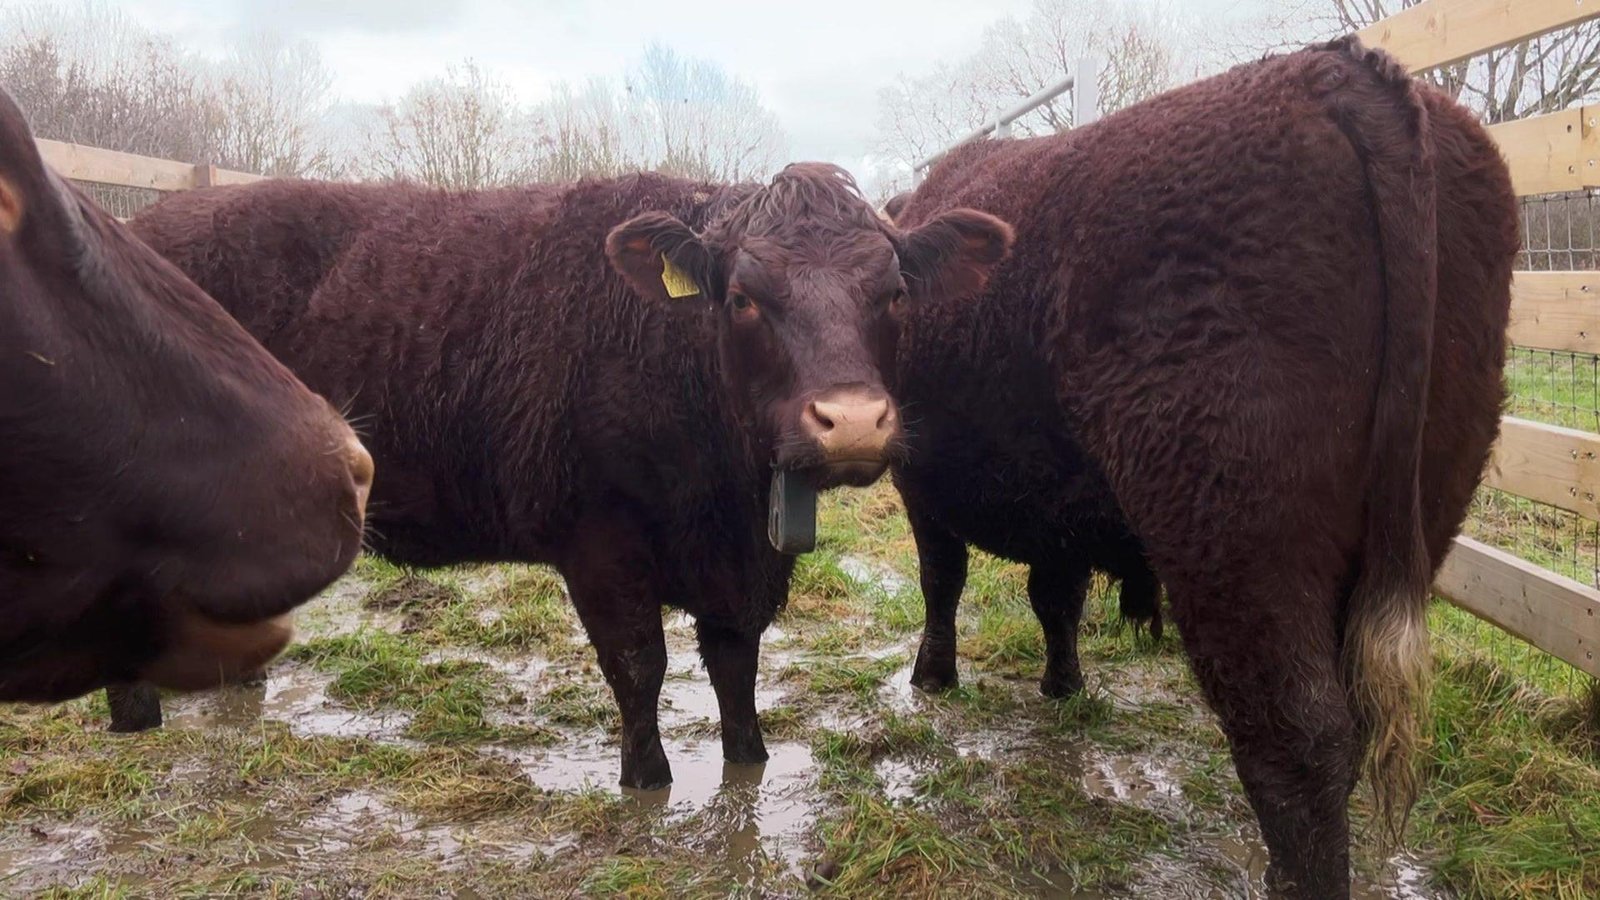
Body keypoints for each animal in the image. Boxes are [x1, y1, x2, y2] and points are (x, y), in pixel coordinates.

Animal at [130, 164, 1012, 790]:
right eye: (742, 297)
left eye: (893, 292)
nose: (853, 420)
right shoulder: (599, 545)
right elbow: (639, 668)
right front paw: (646, 781)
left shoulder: (739, 566)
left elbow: (736, 667)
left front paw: (749, 763)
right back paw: (138, 719)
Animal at [889, 39, 1517, 896]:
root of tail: (1342, 71)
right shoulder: (1058, 505)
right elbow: (1054, 599)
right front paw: (1063, 685)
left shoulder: (922, 486)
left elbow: (943, 580)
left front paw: (933, 676)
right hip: (1416, 510)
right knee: (1342, 724)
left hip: (1232, 533)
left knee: (1299, 742)